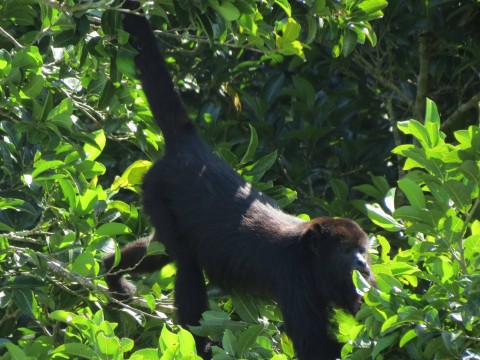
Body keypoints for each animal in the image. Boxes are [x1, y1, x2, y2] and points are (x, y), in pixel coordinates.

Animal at [104, 1, 376, 358]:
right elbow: (313, 343)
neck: (312, 259)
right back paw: (200, 345)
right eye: (345, 249)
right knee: (186, 263)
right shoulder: (295, 277)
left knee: (158, 250)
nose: (361, 263)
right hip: (156, 192)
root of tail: (192, 149)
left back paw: (109, 271)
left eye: (362, 249)